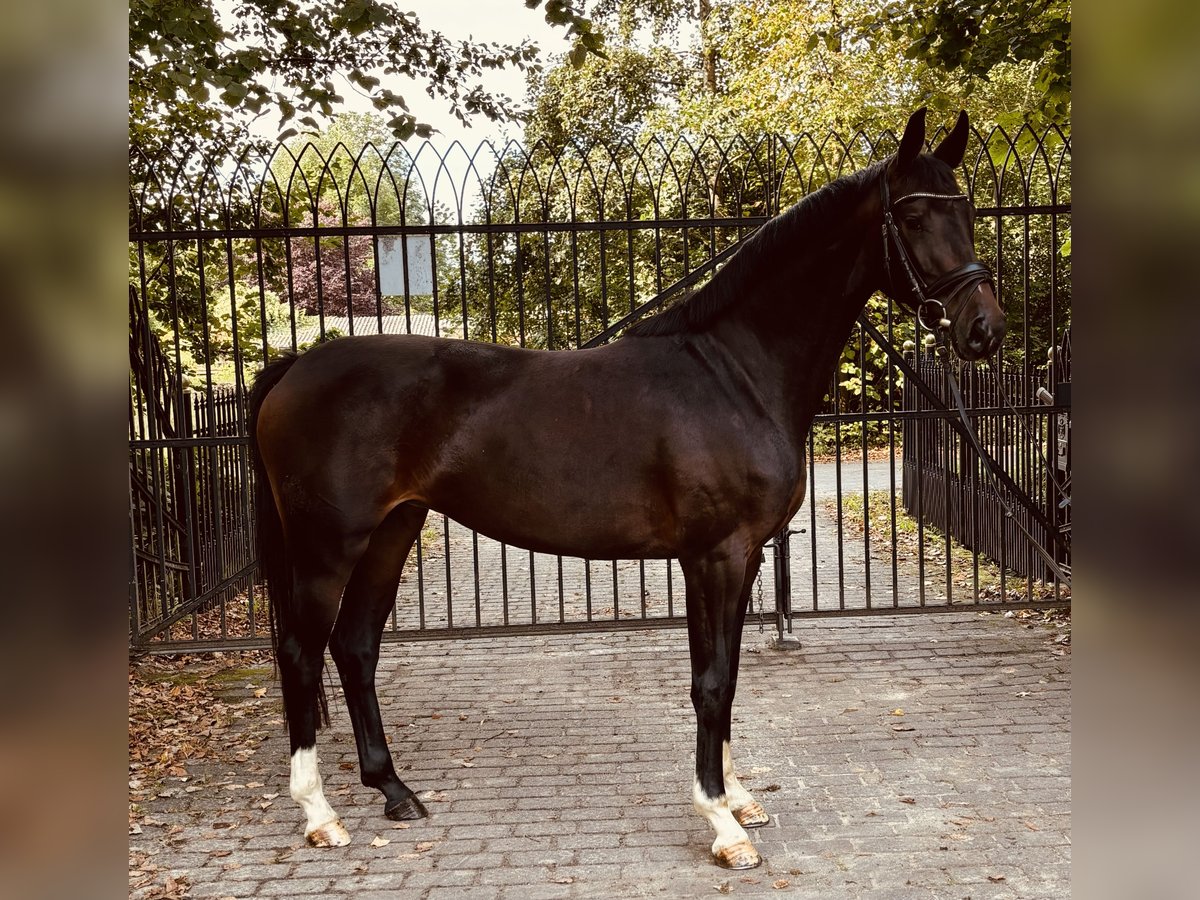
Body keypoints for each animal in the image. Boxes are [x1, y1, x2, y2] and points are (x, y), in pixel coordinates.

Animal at [250, 109, 1003, 868]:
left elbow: (729, 677)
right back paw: (320, 813)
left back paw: (394, 790)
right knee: (301, 654)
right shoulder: (713, 558)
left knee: (355, 647)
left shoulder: (744, 559)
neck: (735, 375)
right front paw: (721, 823)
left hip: (392, 531)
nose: (984, 329)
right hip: (327, 547)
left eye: (966, 211)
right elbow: (711, 683)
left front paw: (738, 798)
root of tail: (295, 368)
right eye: (913, 216)